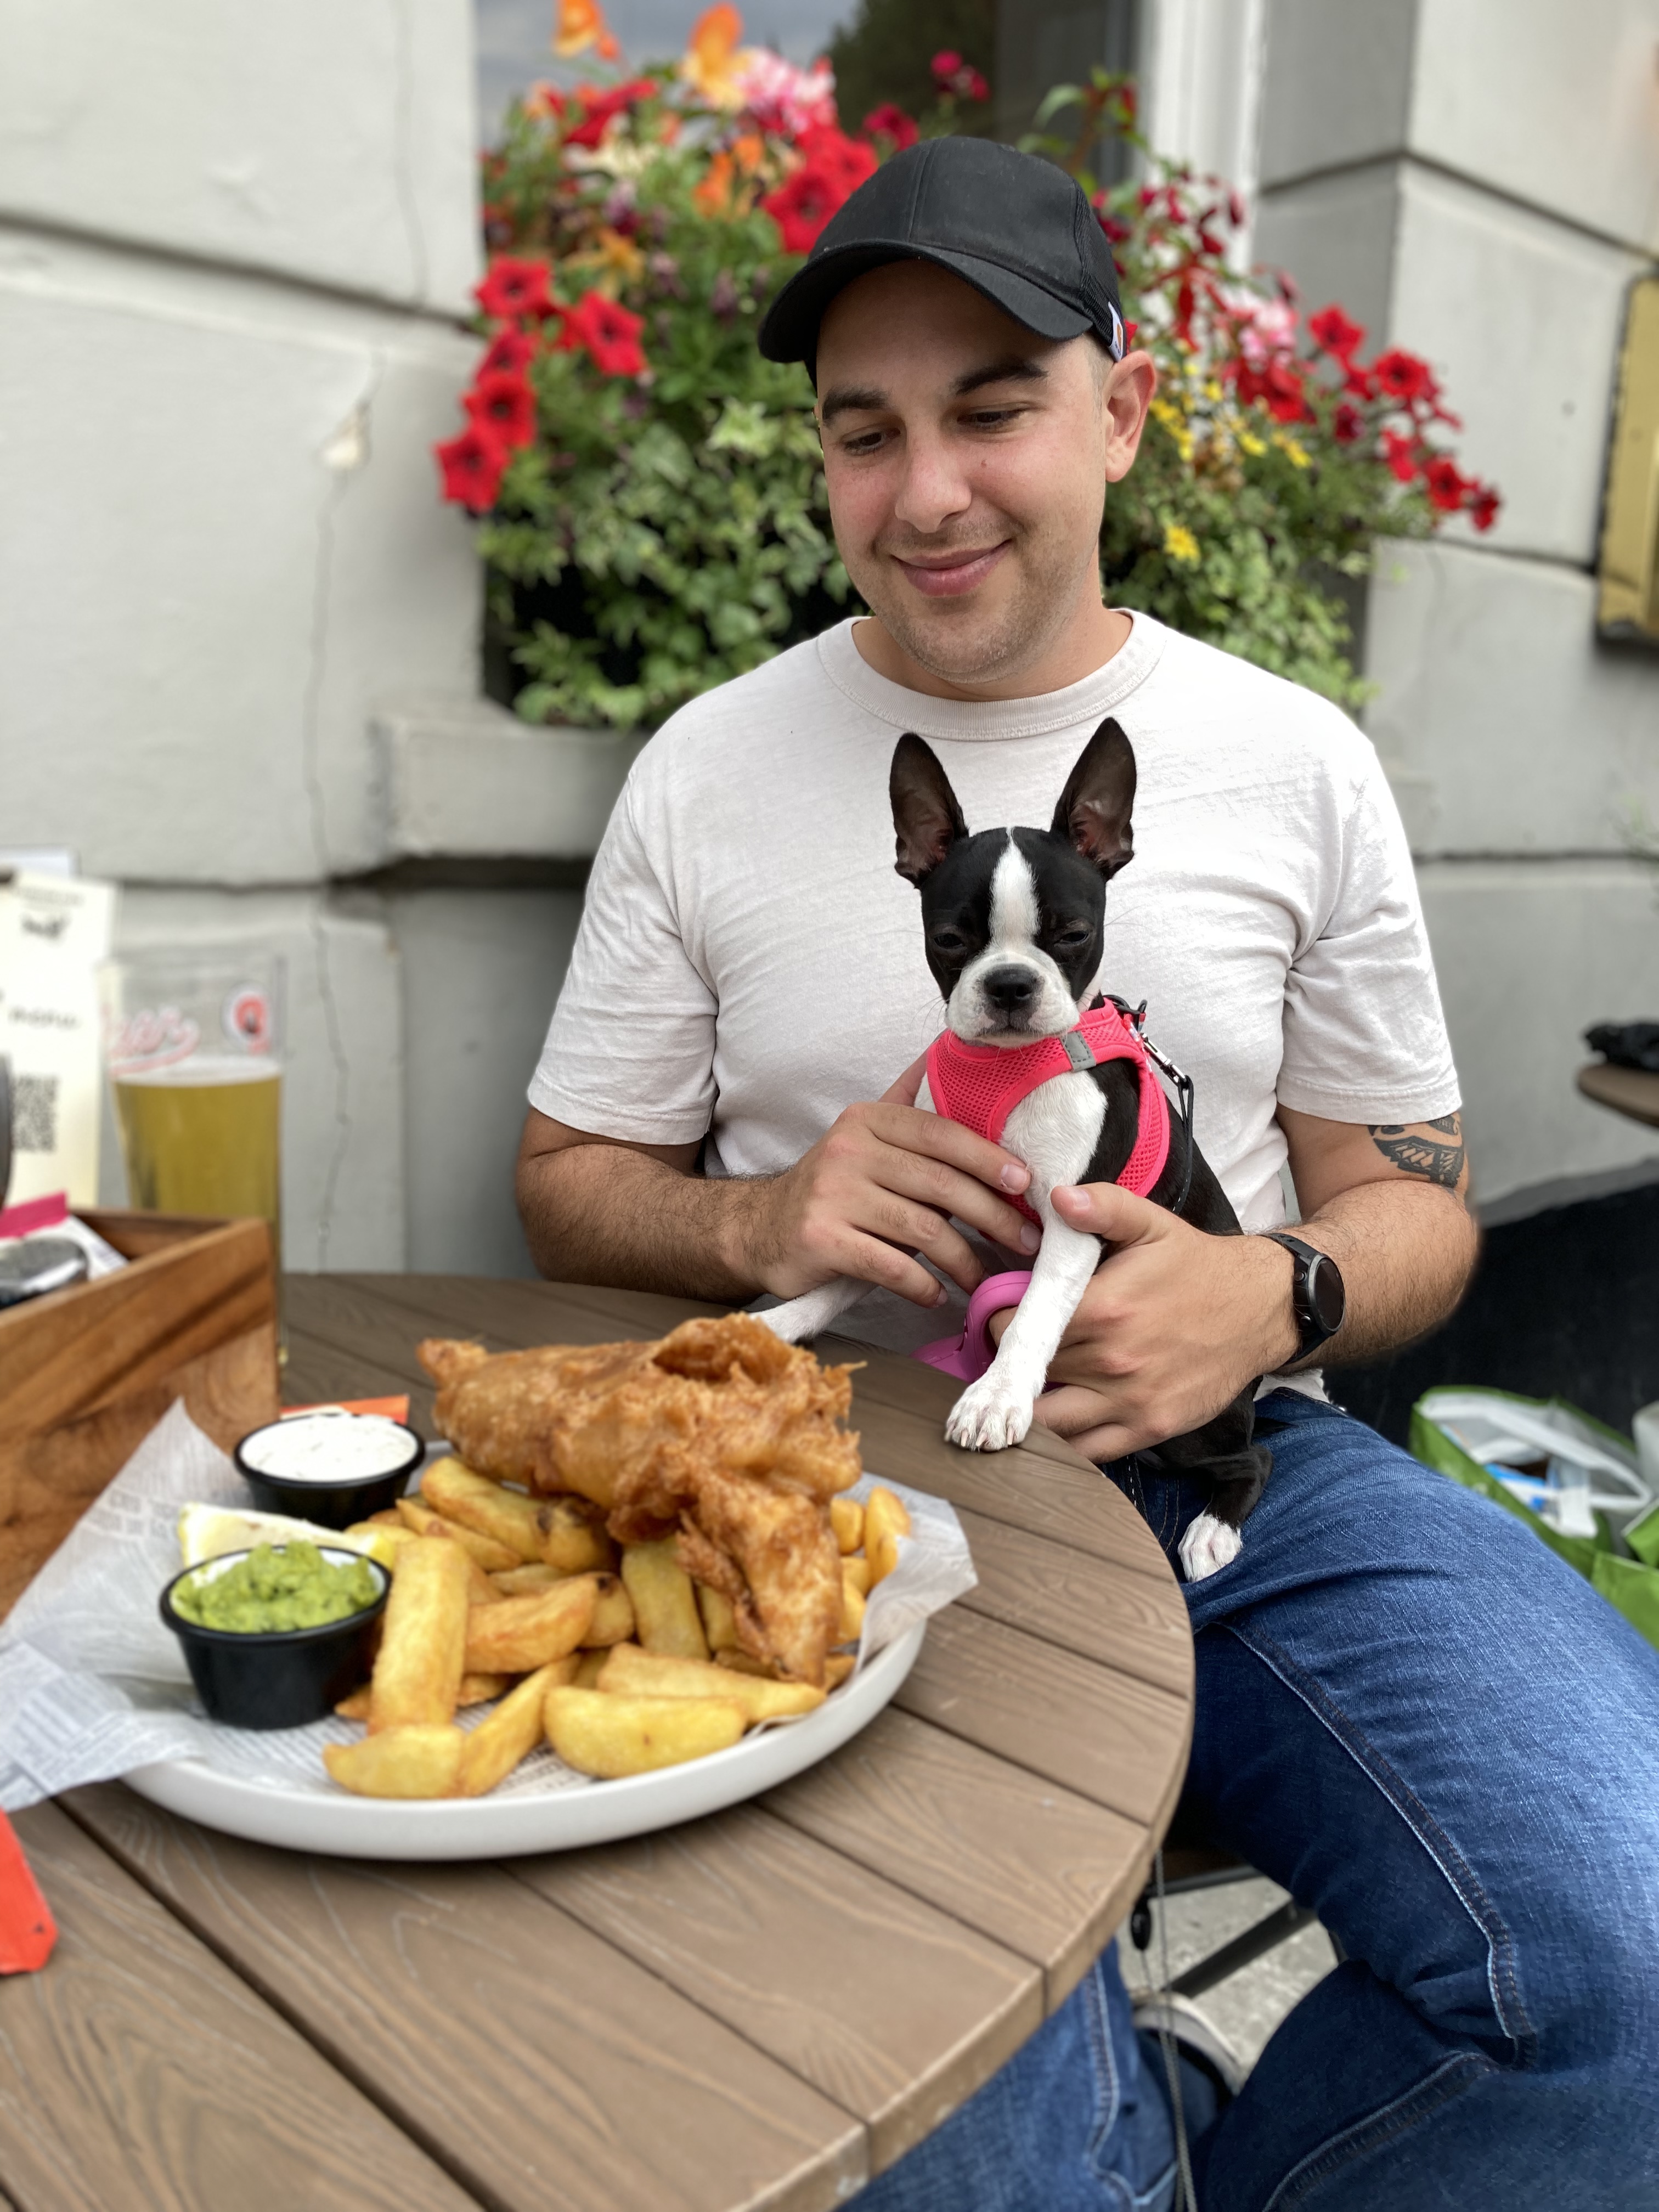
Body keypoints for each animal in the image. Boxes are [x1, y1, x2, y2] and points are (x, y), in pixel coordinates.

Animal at [765, 716, 1274, 1583]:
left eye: (1072, 936)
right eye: (948, 940)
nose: (1008, 985)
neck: (1005, 1067)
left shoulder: (1076, 1219)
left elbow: (1036, 1311)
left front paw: (996, 1396)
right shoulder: (926, 1190)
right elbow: (846, 1270)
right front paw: (786, 1318)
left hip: (1196, 1424)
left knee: (1254, 1460)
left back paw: (1215, 1528)